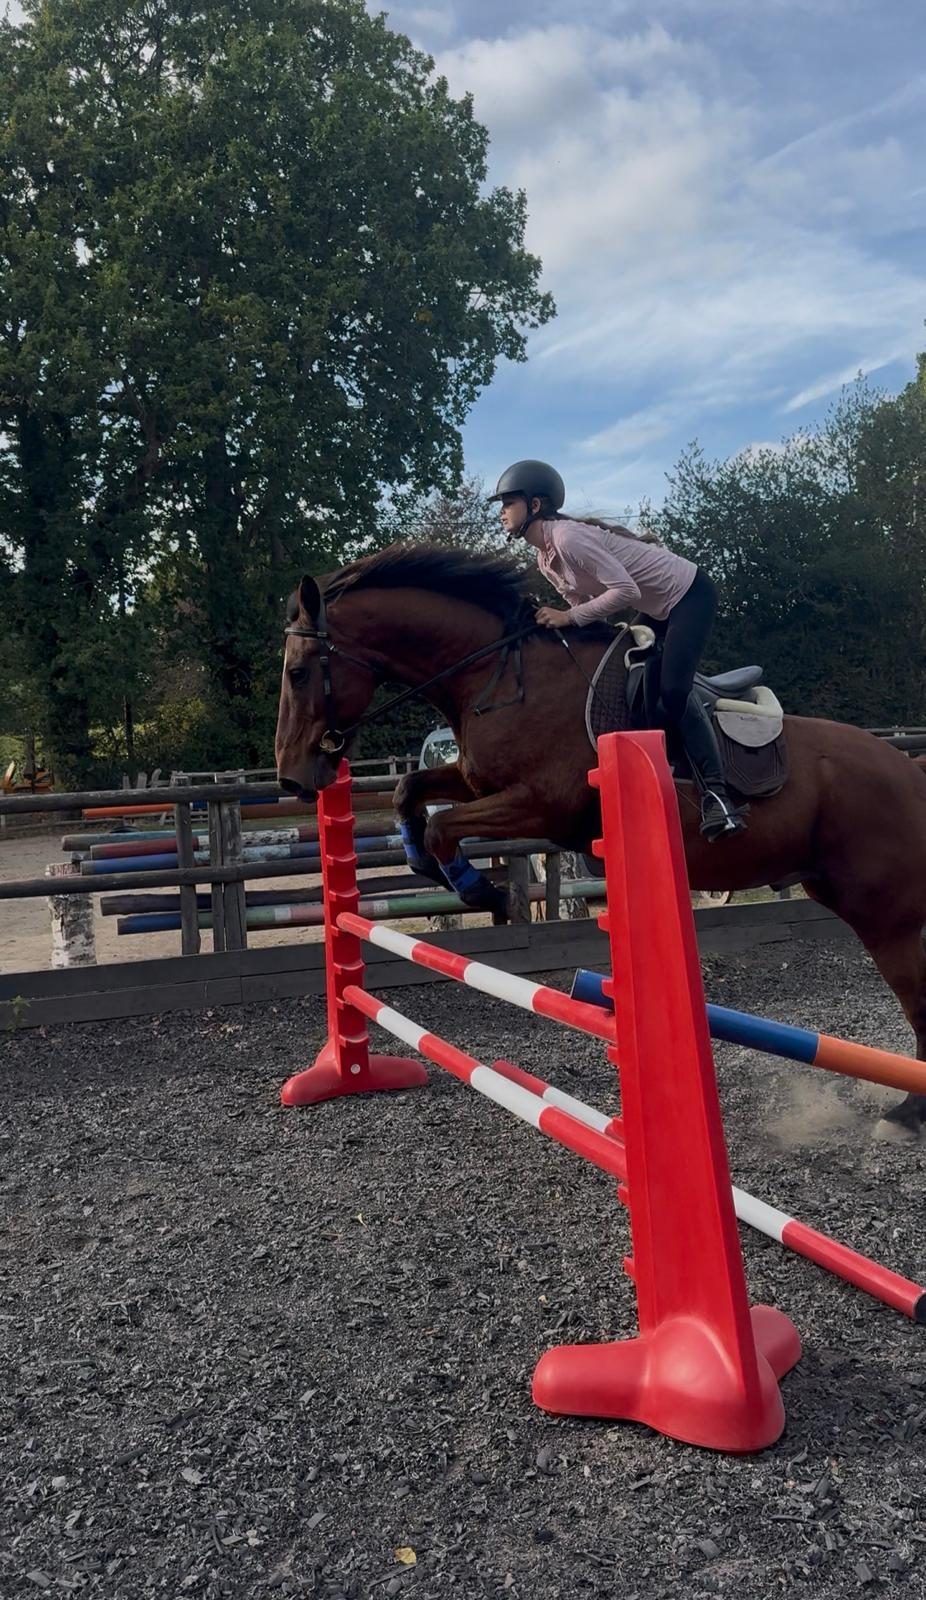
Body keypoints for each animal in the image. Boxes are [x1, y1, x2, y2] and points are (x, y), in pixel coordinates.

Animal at [275, 544, 926, 1139]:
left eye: (299, 672)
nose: (292, 778)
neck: (498, 675)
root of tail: (907, 770)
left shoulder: (541, 804)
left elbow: (443, 826)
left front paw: (483, 892)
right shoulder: (479, 782)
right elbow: (412, 791)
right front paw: (428, 866)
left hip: (884, 914)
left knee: (915, 997)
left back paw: (906, 1114)